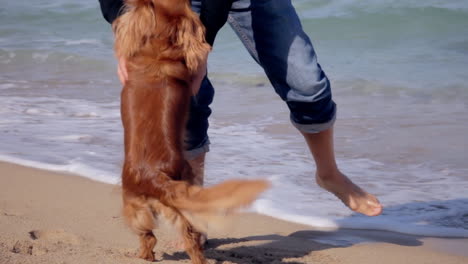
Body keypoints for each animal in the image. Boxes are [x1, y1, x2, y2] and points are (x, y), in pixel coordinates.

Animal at [111, 1, 268, 262]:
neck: (158, 53)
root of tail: (154, 178)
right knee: (181, 239)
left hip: (135, 208)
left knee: (152, 237)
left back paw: (146, 256)